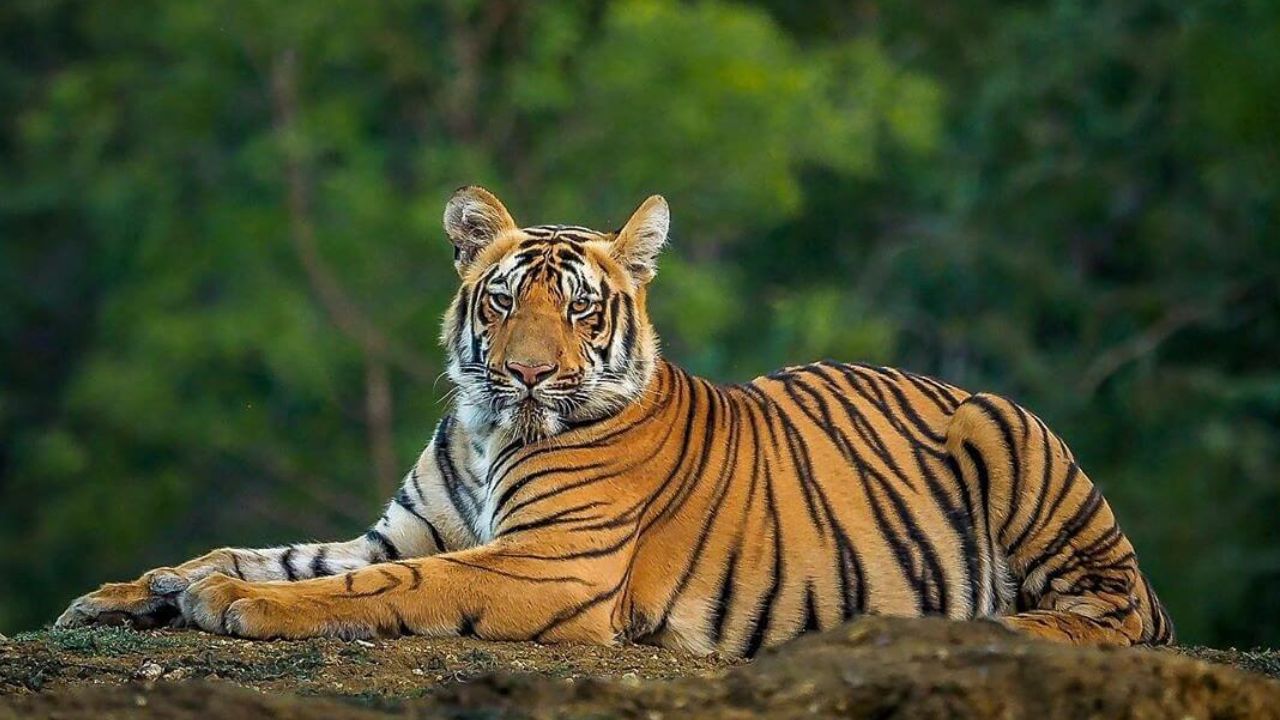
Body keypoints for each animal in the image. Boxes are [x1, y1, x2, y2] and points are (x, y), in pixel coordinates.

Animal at [55, 186, 1174, 656]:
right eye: (505, 300)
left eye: (582, 311)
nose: (524, 373)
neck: (486, 430)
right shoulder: (402, 529)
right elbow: (269, 551)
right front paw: (137, 591)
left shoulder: (546, 564)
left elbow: (372, 588)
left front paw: (230, 606)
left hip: (1007, 433)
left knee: (1111, 616)